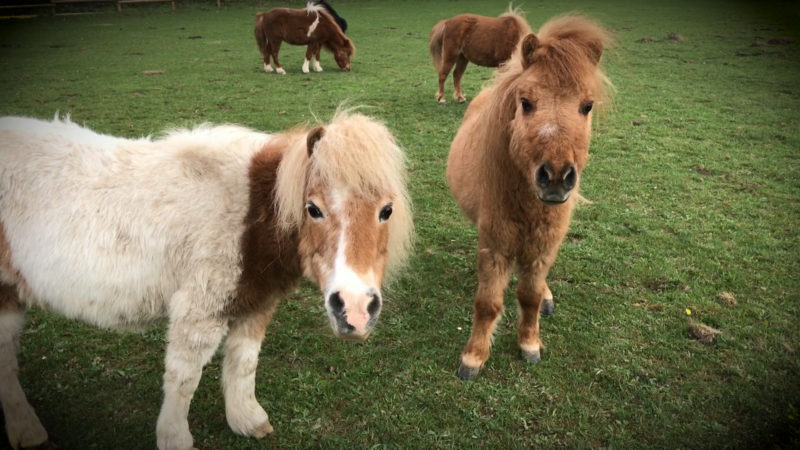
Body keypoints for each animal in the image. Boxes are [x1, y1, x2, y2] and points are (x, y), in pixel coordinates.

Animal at [0, 110, 412, 450]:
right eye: (313, 209)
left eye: (386, 210)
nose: (355, 311)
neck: (251, 213)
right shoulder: (200, 310)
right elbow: (184, 377)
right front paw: (175, 439)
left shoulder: (256, 303)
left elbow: (243, 363)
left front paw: (248, 421)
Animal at [446, 14, 608, 380]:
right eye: (526, 103)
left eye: (587, 105)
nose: (557, 177)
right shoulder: (495, 248)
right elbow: (487, 303)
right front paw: (473, 357)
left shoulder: (542, 247)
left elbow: (530, 296)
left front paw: (529, 344)